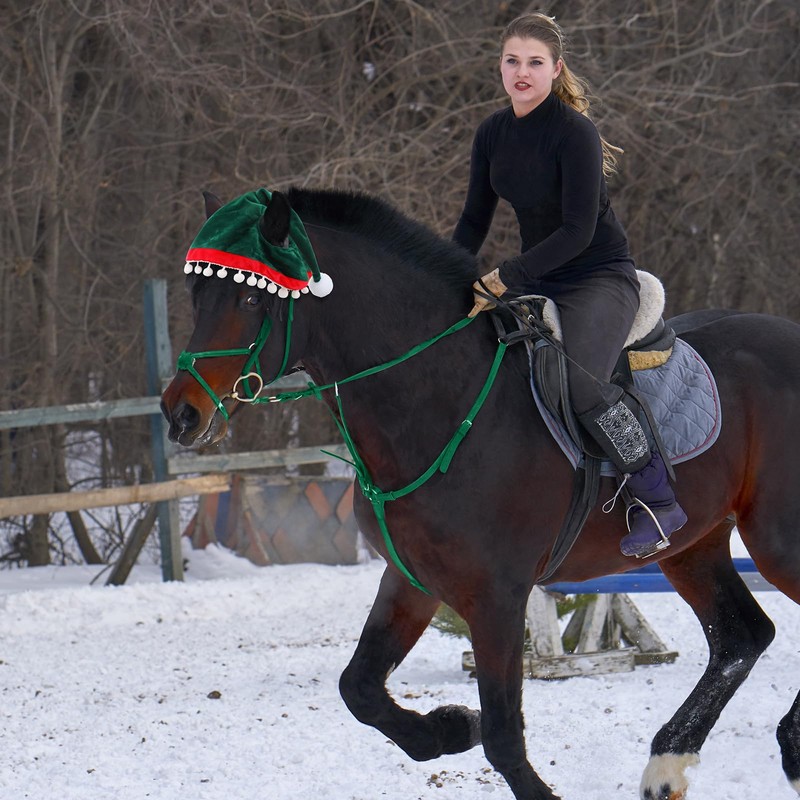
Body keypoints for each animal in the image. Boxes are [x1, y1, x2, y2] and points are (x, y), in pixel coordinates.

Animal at [161, 187, 800, 800]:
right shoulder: (414, 580)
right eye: (197, 295)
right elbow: (359, 688)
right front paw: (448, 728)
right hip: (693, 545)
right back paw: (677, 762)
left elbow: (502, 736)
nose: (180, 414)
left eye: (250, 301)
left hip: (775, 541)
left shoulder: (497, 596)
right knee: (742, 636)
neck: (439, 402)